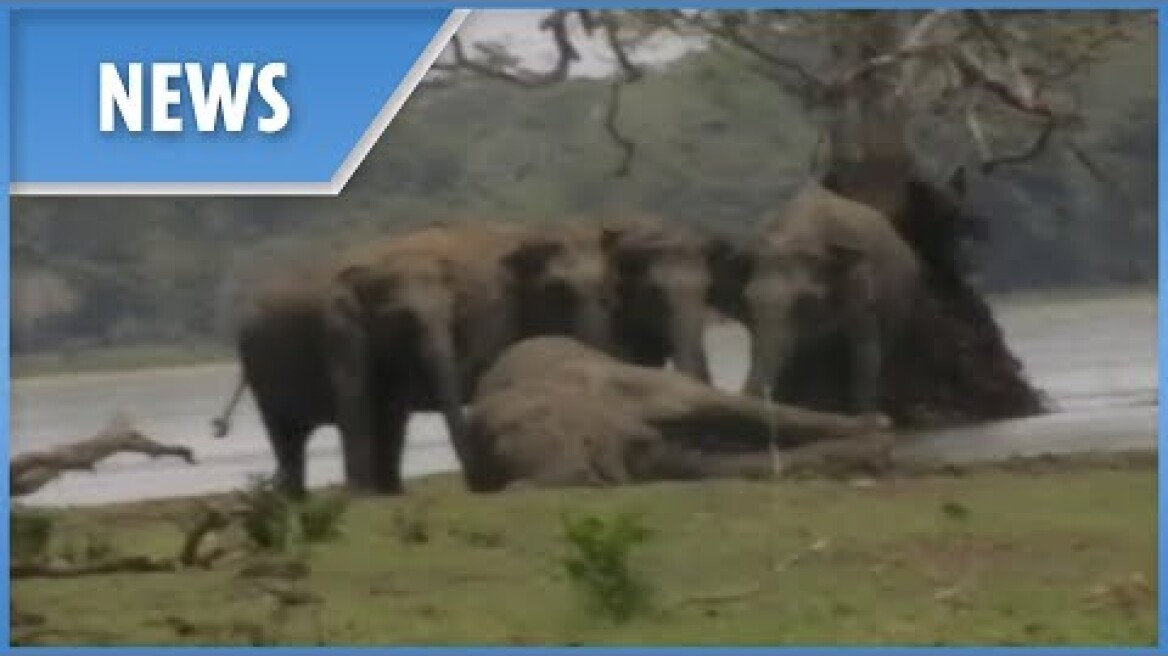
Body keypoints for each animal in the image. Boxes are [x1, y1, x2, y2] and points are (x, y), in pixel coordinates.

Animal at [211, 221, 611, 496]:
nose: (480, 485)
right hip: (259, 367)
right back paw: (299, 498)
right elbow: (356, 398)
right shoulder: (340, 331)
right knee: (286, 434)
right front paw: (364, 498)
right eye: (403, 321)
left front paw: (389, 495)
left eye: (454, 314)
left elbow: (392, 408)